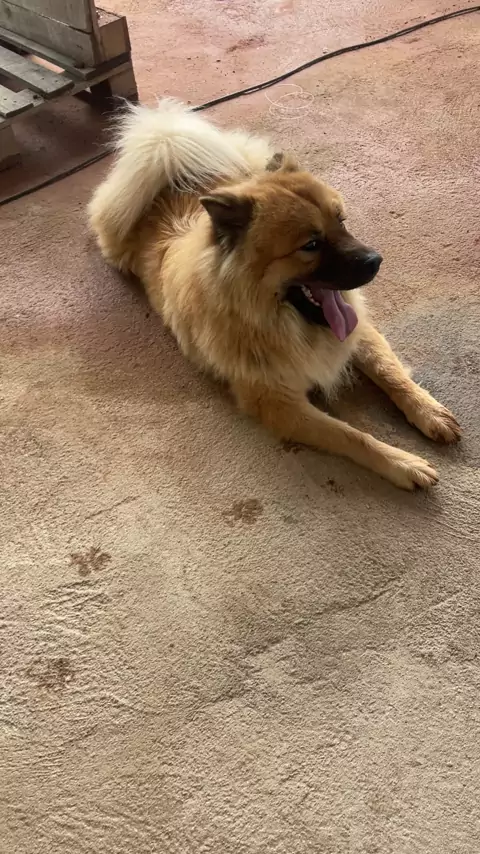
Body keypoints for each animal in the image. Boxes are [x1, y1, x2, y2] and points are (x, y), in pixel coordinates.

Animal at [88, 99, 461, 490]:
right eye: (311, 245)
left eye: (342, 221)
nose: (376, 260)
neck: (277, 321)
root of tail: (168, 158)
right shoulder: (279, 403)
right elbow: (351, 435)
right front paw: (403, 463)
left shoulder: (355, 331)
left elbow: (390, 372)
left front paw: (429, 411)